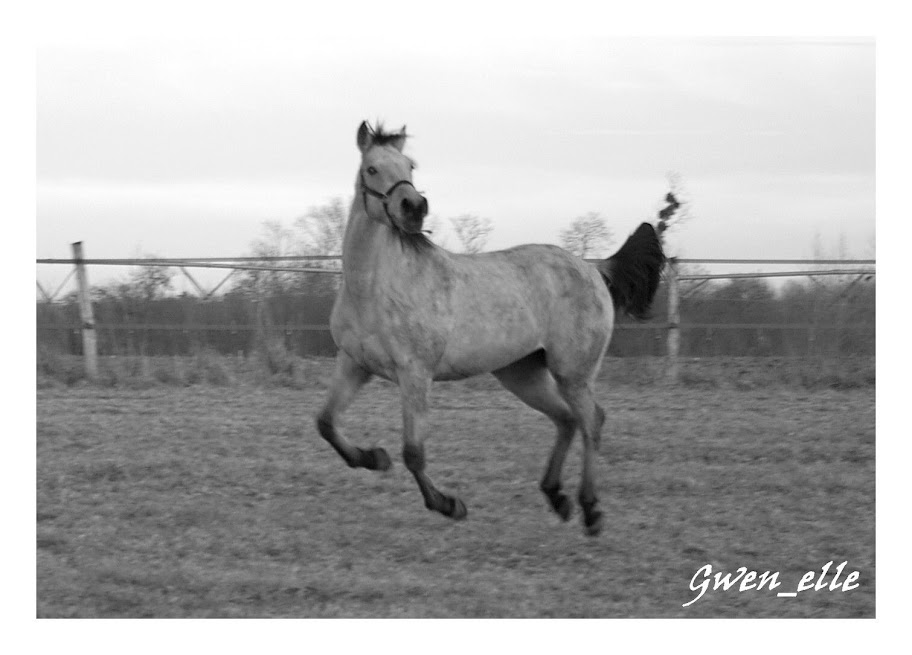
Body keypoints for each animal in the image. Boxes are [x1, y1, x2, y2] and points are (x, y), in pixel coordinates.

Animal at [316, 121, 665, 536]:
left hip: (572, 372)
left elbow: (413, 453)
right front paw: (373, 458)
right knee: (566, 419)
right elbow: (326, 423)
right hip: (522, 374)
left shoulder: (415, 373)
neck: (373, 287)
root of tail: (595, 269)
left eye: (410, 166)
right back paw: (557, 497)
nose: (413, 208)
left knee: (591, 420)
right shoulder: (354, 363)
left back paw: (590, 509)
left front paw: (449, 505)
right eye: (371, 169)